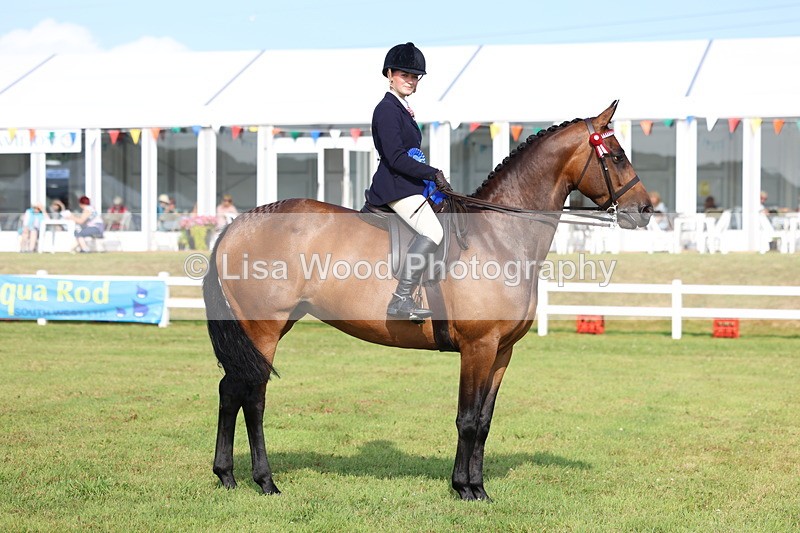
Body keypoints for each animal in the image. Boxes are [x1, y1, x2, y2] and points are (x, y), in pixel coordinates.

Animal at [202, 101, 652, 501]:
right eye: (616, 155)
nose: (645, 210)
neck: (499, 236)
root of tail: (238, 224)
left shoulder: (502, 351)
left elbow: (484, 421)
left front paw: (478, 488)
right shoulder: (477, 347)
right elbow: (467, 420)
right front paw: (465, 489)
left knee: (230, 389)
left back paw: (227, 476)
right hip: (264, 328)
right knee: (253, 397)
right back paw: (265, 482)